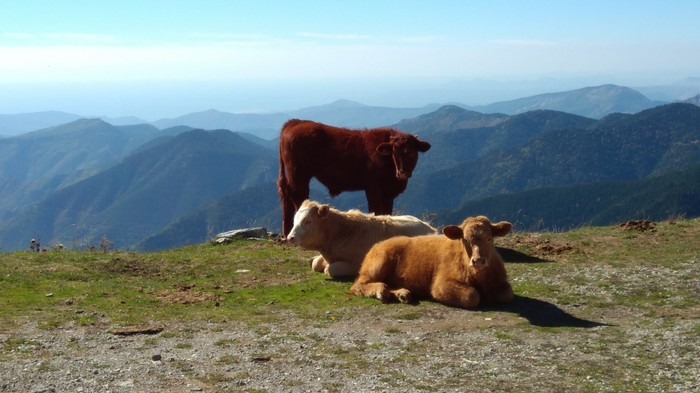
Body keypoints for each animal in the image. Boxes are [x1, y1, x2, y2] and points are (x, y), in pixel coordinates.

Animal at [276, 118, 430, 236]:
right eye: (395, 152)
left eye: (413, 152)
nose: (402, 173)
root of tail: (295, 122)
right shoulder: (373, 188)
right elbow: (376, 211)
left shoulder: (388, 194)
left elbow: (387, 212)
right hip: (298, 174)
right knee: (297, 196)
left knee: (286, 196)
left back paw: (286, 232)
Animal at [288, 199, 434, 278]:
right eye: (295, 219)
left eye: (308, 221)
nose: (290, 237)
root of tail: (429, 227)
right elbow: (316, 263)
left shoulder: (356, 264)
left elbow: (329, 269)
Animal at [352, 214, 512, 310]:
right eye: (465, 239)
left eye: (489, 238)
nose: (478, 261)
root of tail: (377, 244)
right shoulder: (441, 285)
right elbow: (472, 296)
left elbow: (506, 293)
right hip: (377, 265)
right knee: (358, 285)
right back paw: (381, 291)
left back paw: (402, 294)